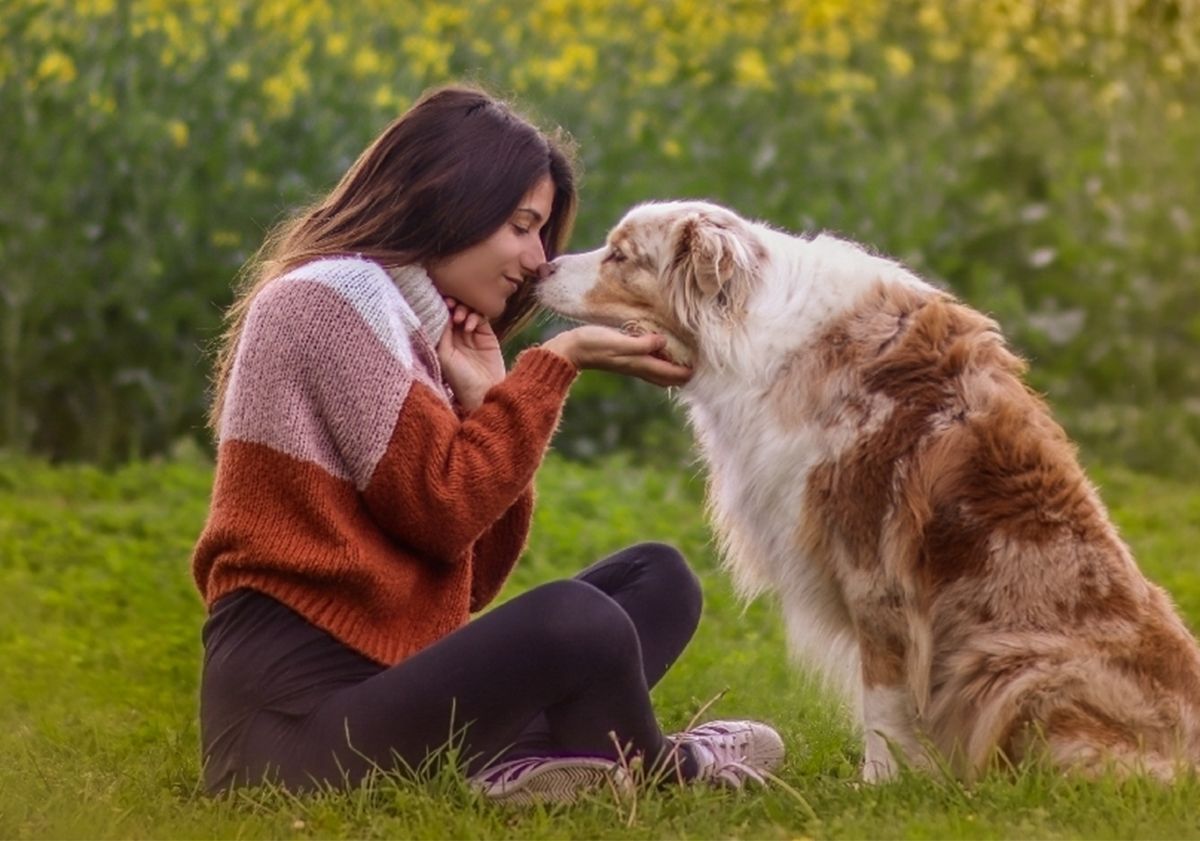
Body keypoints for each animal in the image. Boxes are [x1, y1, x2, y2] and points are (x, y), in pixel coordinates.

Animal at [537, 201, 1200, 782]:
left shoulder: (873, 568)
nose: (542, 266)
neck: (756, 332)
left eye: (621, 255)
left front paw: (880, 783)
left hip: (1008, 669)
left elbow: (882, 700)